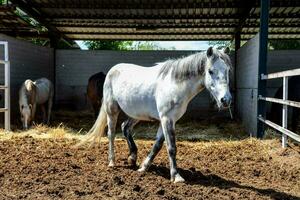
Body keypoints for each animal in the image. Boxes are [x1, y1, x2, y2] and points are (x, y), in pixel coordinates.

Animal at [79, 47, 232, 183]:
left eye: (228, 71)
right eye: (210, 71)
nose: (226, 100)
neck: (175, 85)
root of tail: (112, 70)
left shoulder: (169, 120)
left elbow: (157, 145)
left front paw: (143, 167)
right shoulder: (166, 119)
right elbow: (171, 147)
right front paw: (176, 176)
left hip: (136, 114)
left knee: (125, 127)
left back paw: (132, 157)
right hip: (112, 109)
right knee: (111, 134)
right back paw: (112, 162)